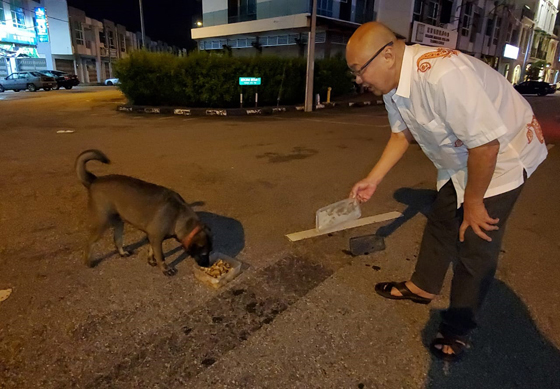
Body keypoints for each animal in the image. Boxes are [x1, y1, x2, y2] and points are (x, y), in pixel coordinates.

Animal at [75, 147, 211, 274]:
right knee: (89, 243)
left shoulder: (153, 237)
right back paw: (89, 262)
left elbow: (151, 250)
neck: (178, 216)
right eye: (204, 254)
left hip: (119, 222)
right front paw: (165, 269)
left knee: (117, 240)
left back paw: (122, 253)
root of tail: (94, 180)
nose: (208, 265)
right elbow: (161, 256)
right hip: (102, 223)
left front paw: (151, 261)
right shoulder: (157, 239)